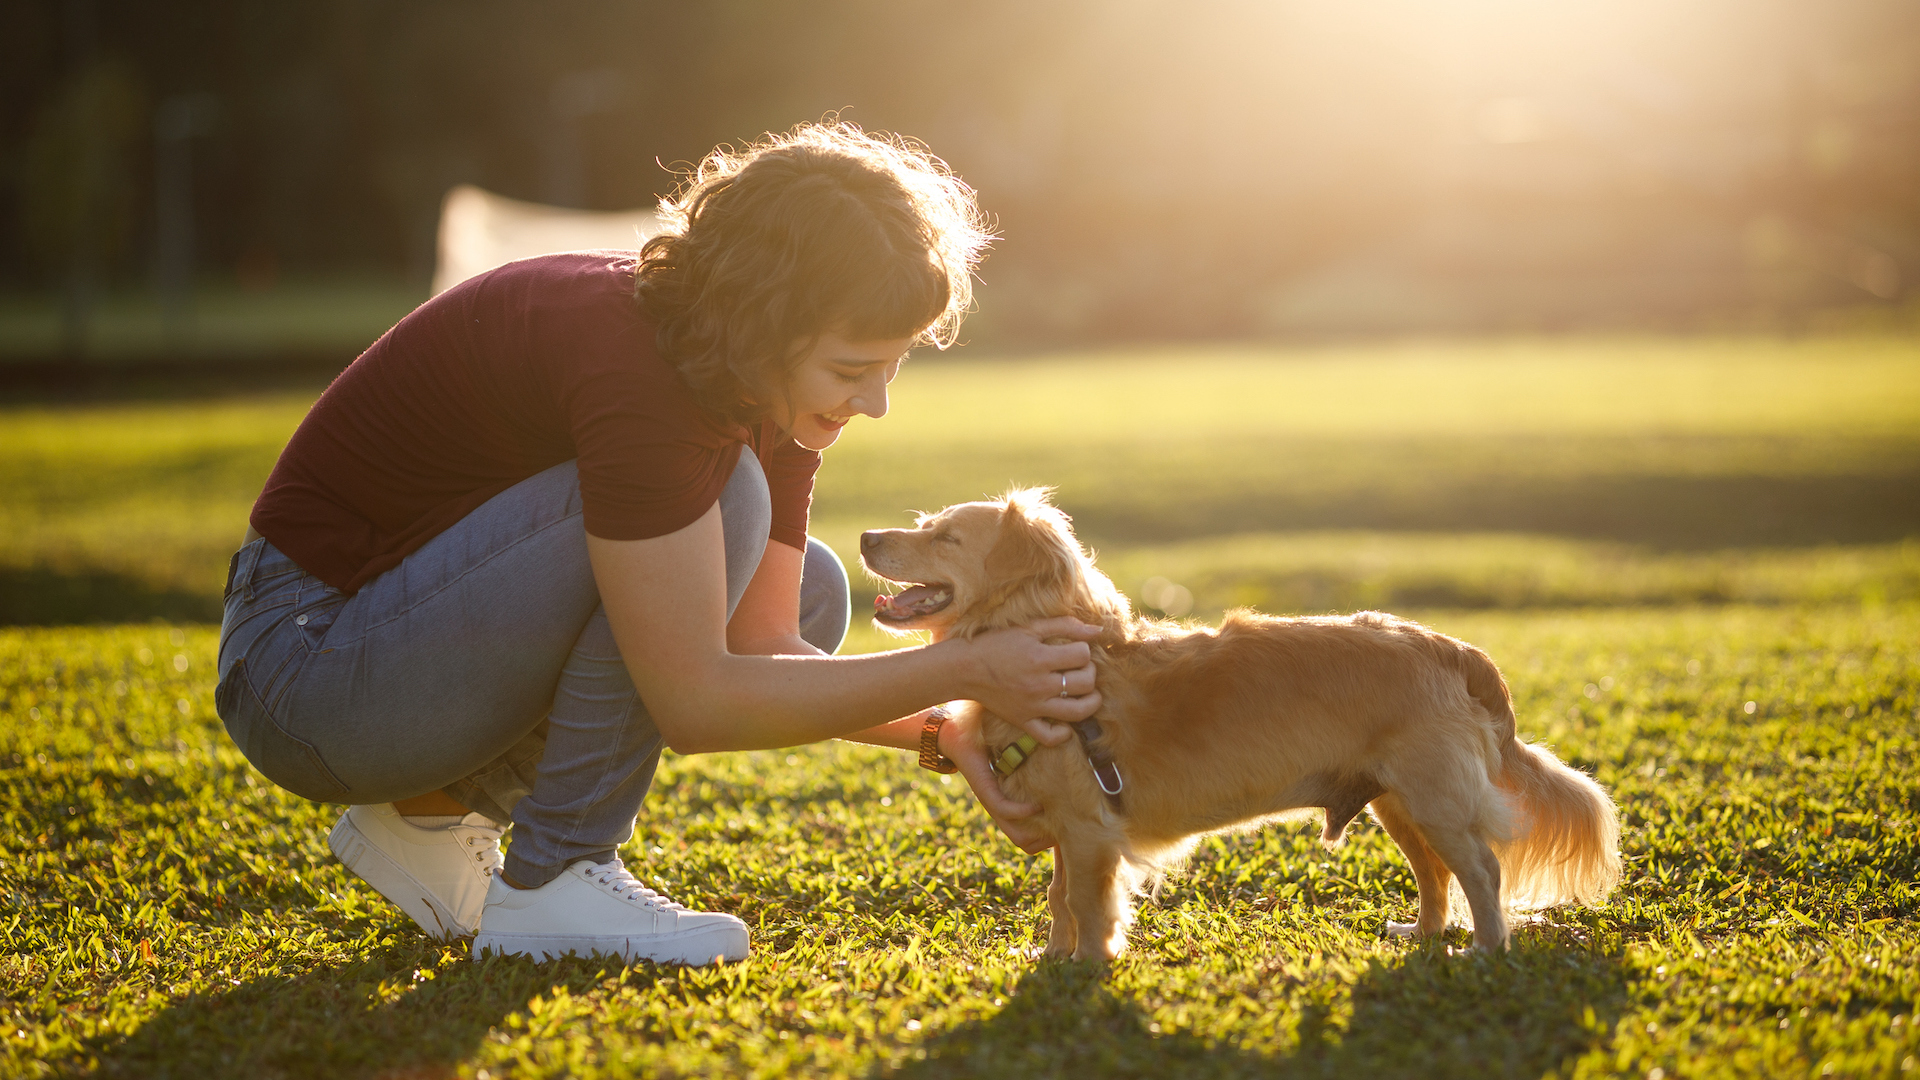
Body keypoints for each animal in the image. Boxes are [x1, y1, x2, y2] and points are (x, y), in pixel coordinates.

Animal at [864, 484, 1628, 953]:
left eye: (946, 537)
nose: (867, 535)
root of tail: (1449, 648)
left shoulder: (1088, 830)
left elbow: (1084, 903)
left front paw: (1084, 967)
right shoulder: (1068, 829)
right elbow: (1056, 897)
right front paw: (1052, 958)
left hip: (1434, 799)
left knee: (1481, 872)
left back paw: (1485, 950)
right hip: (1399, 804)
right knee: (1436, 876)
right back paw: (1425, 934)